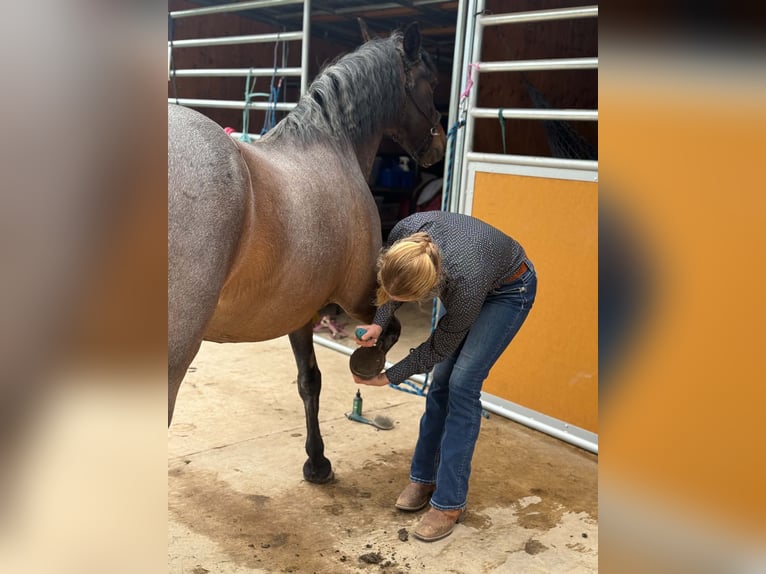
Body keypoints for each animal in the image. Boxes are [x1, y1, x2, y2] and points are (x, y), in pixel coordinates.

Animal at [168, 22, 446, 484]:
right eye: (431, 83)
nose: (437, 148)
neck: (332, 147)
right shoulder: (360, 295)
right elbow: (388, 331)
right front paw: (366, 363)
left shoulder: (298, 308)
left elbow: (308, 381)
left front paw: (316, 462)